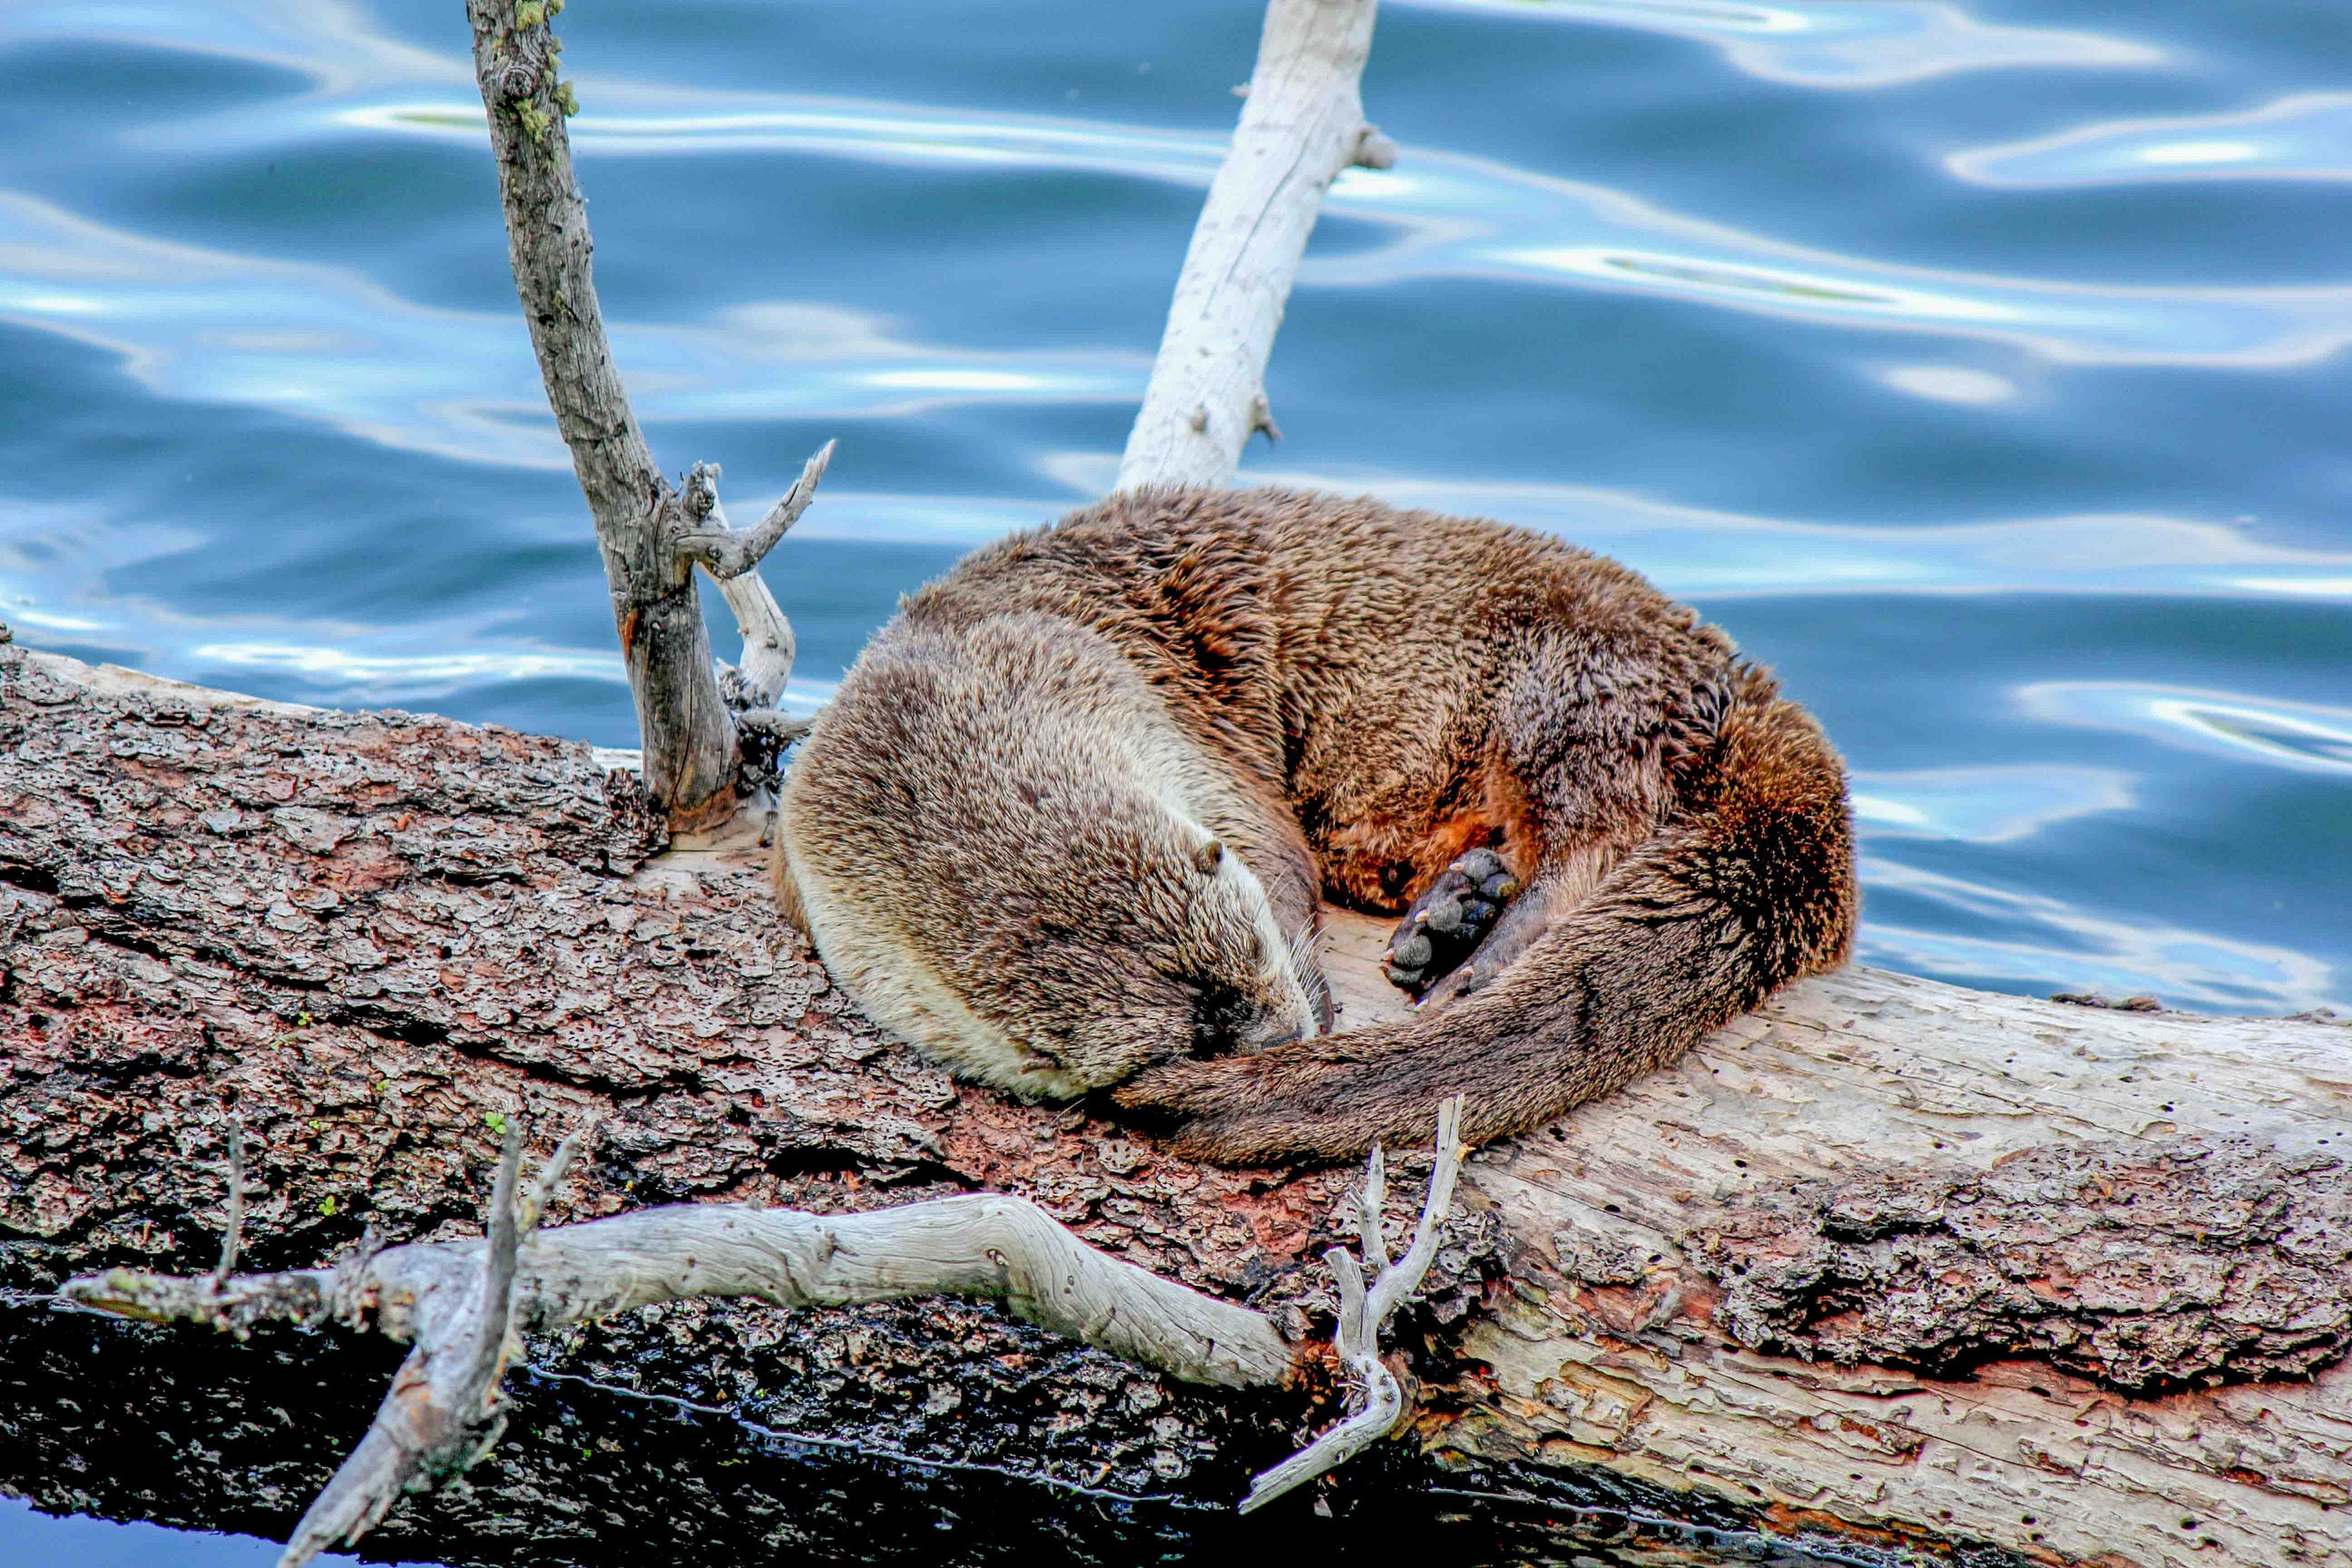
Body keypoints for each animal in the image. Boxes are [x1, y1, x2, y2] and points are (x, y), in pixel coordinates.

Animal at [776, 487, 1855, 1165]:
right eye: (1194, 1044)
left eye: (1250, 946)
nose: (1287, 1037)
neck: (992, 654)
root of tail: (1745, 687)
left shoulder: (1164, 716)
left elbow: (1272, 844)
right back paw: (1452, 913)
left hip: (1577, 681)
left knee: (1594, 836)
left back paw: (1482, 956)